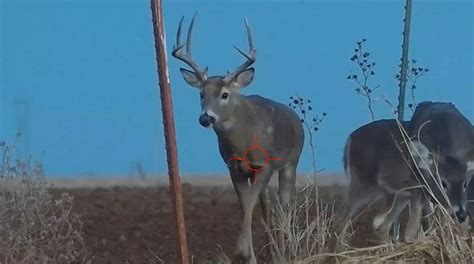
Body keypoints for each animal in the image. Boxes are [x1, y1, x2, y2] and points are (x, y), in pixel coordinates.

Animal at [170, 14, 304, 264]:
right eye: (201, 94)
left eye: (225, 94)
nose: (205, 117)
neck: (242, 142)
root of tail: (295, 119)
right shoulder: (234, 166)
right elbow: (245, 205)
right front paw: (248, 256)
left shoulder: (264, 164)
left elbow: (249, 203)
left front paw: (241, 251)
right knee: (267, 207)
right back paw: (272, 252)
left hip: (291, 162)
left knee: (284, 206)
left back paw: (283, 252)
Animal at [344, 101, 474, 243]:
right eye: (443, 182)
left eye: (465, 183)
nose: (460, 213)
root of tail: (349, 138)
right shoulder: (418, 185)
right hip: (363, 181)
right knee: (346, 216)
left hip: (396, 195)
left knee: (380, 222)